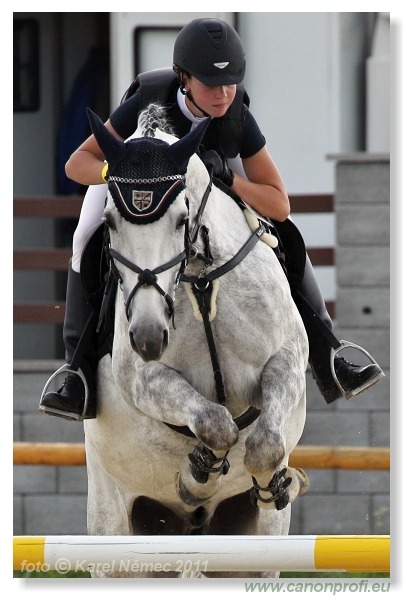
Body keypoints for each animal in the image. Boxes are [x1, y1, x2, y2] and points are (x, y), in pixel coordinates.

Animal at [83, 105, 310, 580]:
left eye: (181, 220)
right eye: (109, 223)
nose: (148, 336)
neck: (201, 279)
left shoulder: (287, 358)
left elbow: (264, 443)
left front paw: (273, 483)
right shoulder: (140, 377)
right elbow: (213, 420)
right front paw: (195, 478)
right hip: (115, 527)